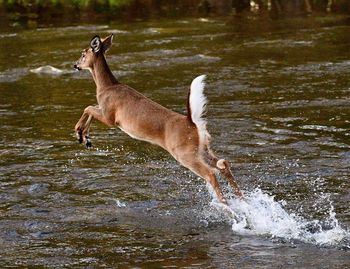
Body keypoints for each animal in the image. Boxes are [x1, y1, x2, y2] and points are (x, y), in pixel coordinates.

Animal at [73, 34, 243, 204]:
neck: (106, 87)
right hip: (202, 149)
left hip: (184, 153)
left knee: (211, 173)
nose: (75, 65)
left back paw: (225, 205)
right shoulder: (105, 113)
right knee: (223, 164)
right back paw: (241, 199)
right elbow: (89, 108)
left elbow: (88, 107)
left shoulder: (110, 116)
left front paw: (79, 133)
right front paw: (85, 137)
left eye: (83, 54)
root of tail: (193, 123)